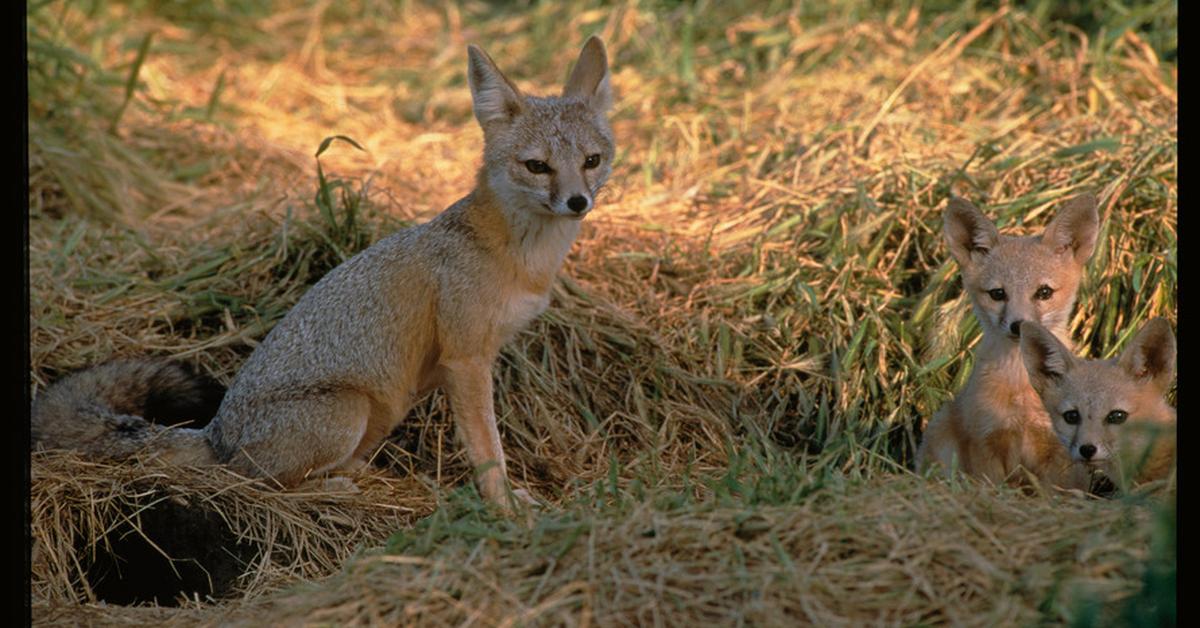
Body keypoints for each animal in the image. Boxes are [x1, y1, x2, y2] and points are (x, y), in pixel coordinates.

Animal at [32, 35, 614, 511]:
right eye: (537, 166)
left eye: (591, 160)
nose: (577, 202)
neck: (520, 257)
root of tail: (218, 434)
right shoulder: (467, 360)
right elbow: (487, 447)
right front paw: (504, 508)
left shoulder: (471, 359)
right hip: (348, 411)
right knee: (257, 483)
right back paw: (332, 488)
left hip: (383, 411)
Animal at [921, 194, 1099, 489]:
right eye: (997, 294)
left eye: (1044, 292)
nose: (1019, 325)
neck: (1022, 391)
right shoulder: (987, 443)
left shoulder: (1058, 454)